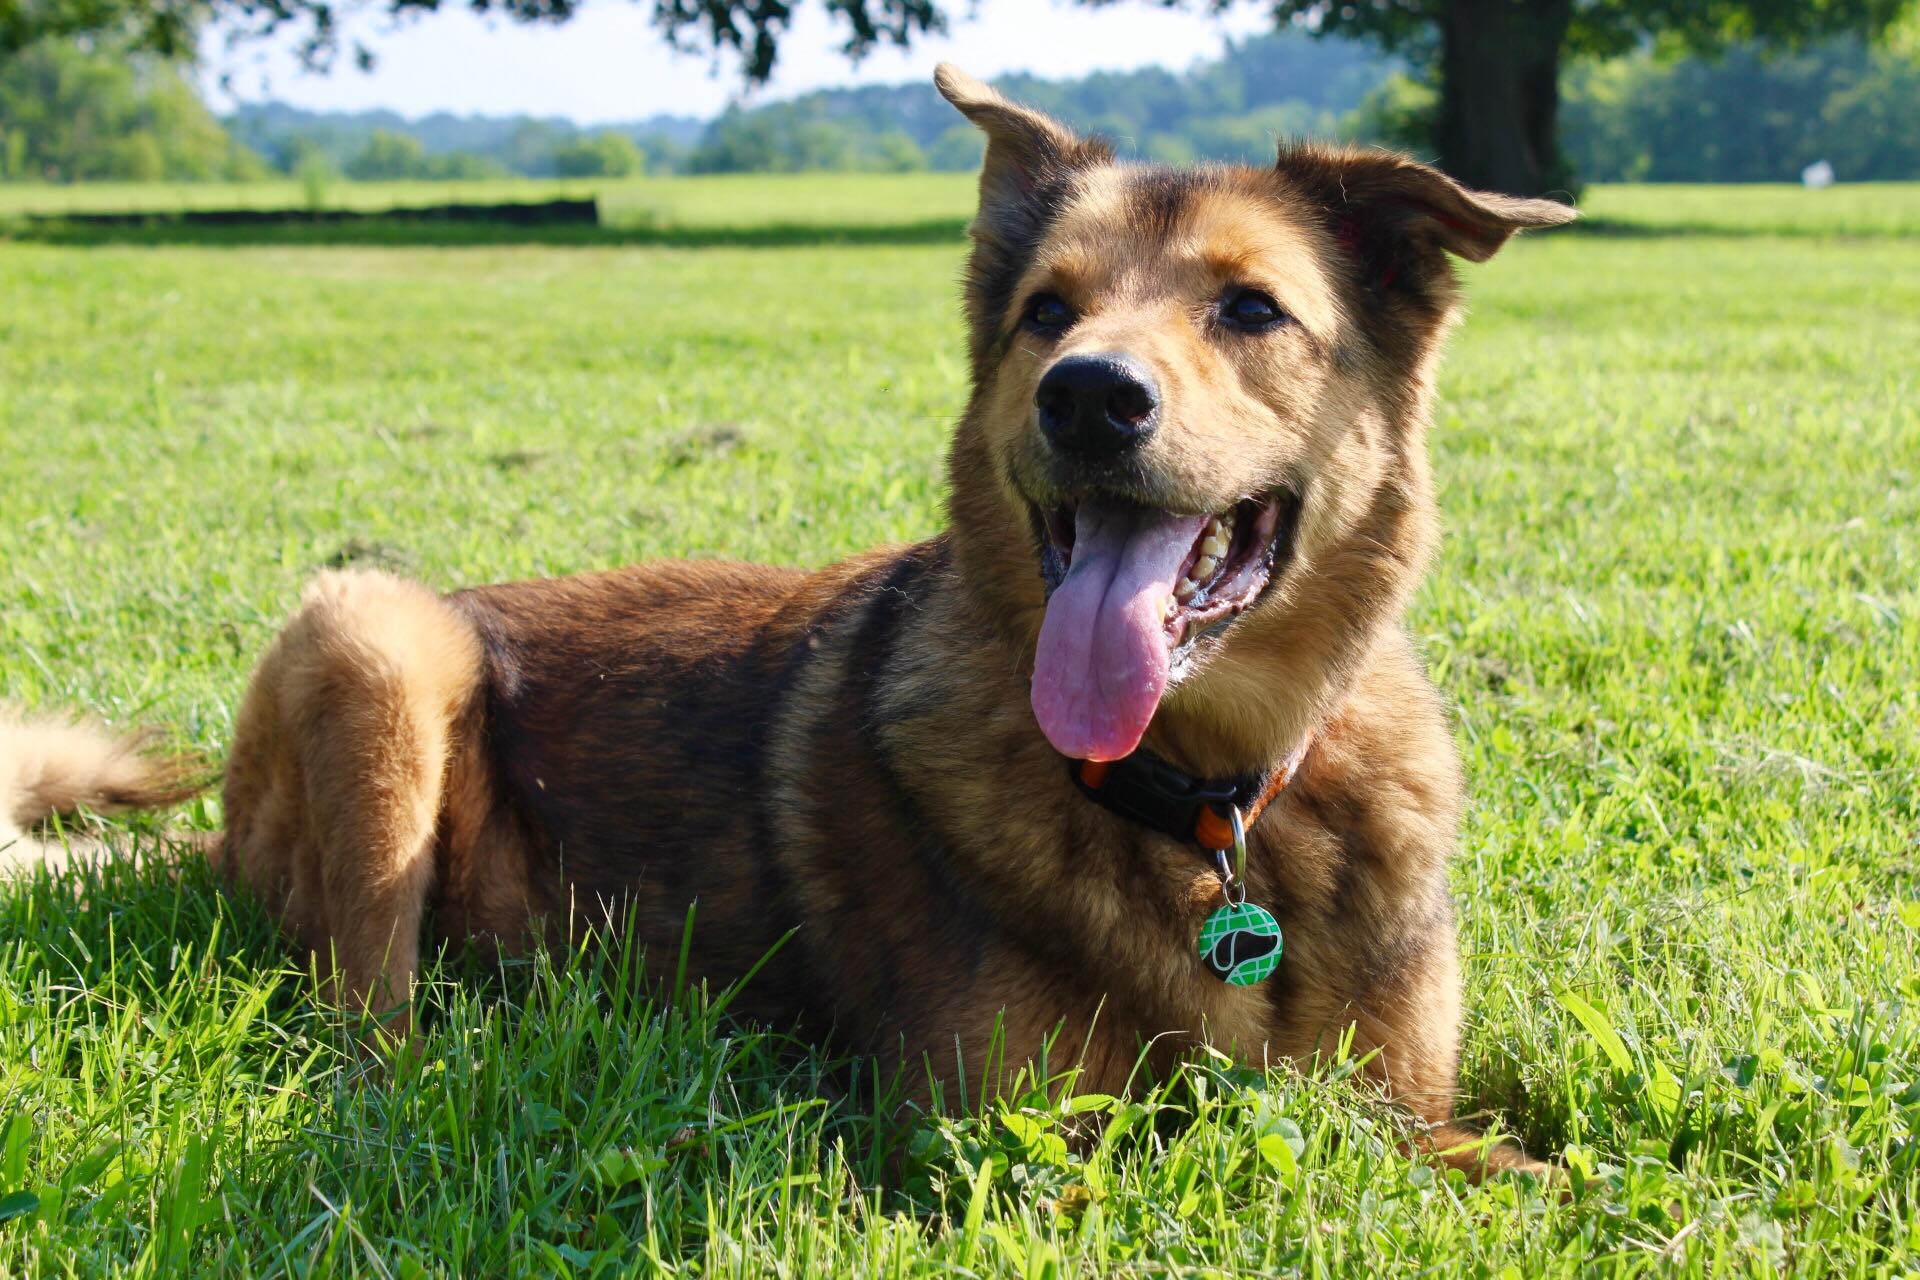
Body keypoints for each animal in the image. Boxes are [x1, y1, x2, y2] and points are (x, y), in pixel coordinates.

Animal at [3, 67, 1574, 1174]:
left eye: (1253, 310)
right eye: (1046, 312)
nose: (1086, 393)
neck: (1206, 803)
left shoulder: (1408, 1116)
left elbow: (1531, 1165)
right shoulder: (1010, 1146)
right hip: (377, 643)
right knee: (362, 1030)